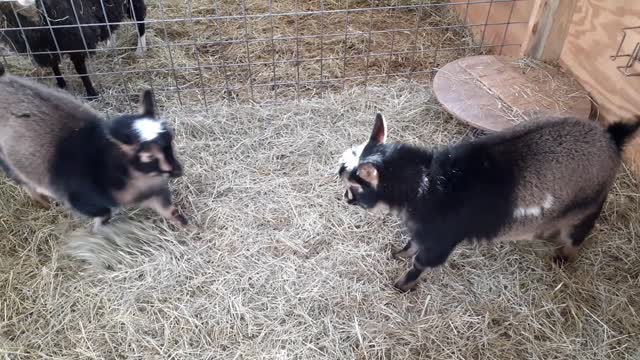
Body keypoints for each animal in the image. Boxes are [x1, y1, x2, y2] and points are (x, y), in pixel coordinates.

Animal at [0, 0, 146, 97]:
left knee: (139, 20)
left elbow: (80, 70)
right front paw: (61, 84)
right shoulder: (49, 48)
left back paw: (140, 50)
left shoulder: (77, 43)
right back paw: (111, 45)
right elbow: (54, 65)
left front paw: (92, 93)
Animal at [0, 63, 189, 229]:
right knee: (24, 181)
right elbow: (104, 213)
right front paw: (98, 230)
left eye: (170, 138)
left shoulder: (155, 193)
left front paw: (187, 227)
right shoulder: (80, 199)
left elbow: (171, 211)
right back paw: (44, 202)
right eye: (148, 156)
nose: (179, 171)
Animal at [338, 114, 636, 294]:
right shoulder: (424, 230)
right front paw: (397, 254)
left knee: (576, 236)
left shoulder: (442, 237)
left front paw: (400, 285)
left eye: (354, 187)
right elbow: (411, 245)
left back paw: (562, 258)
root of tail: (610, 139)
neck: (428, 184)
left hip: (588, 207)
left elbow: (421, 262)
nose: (345, 199)